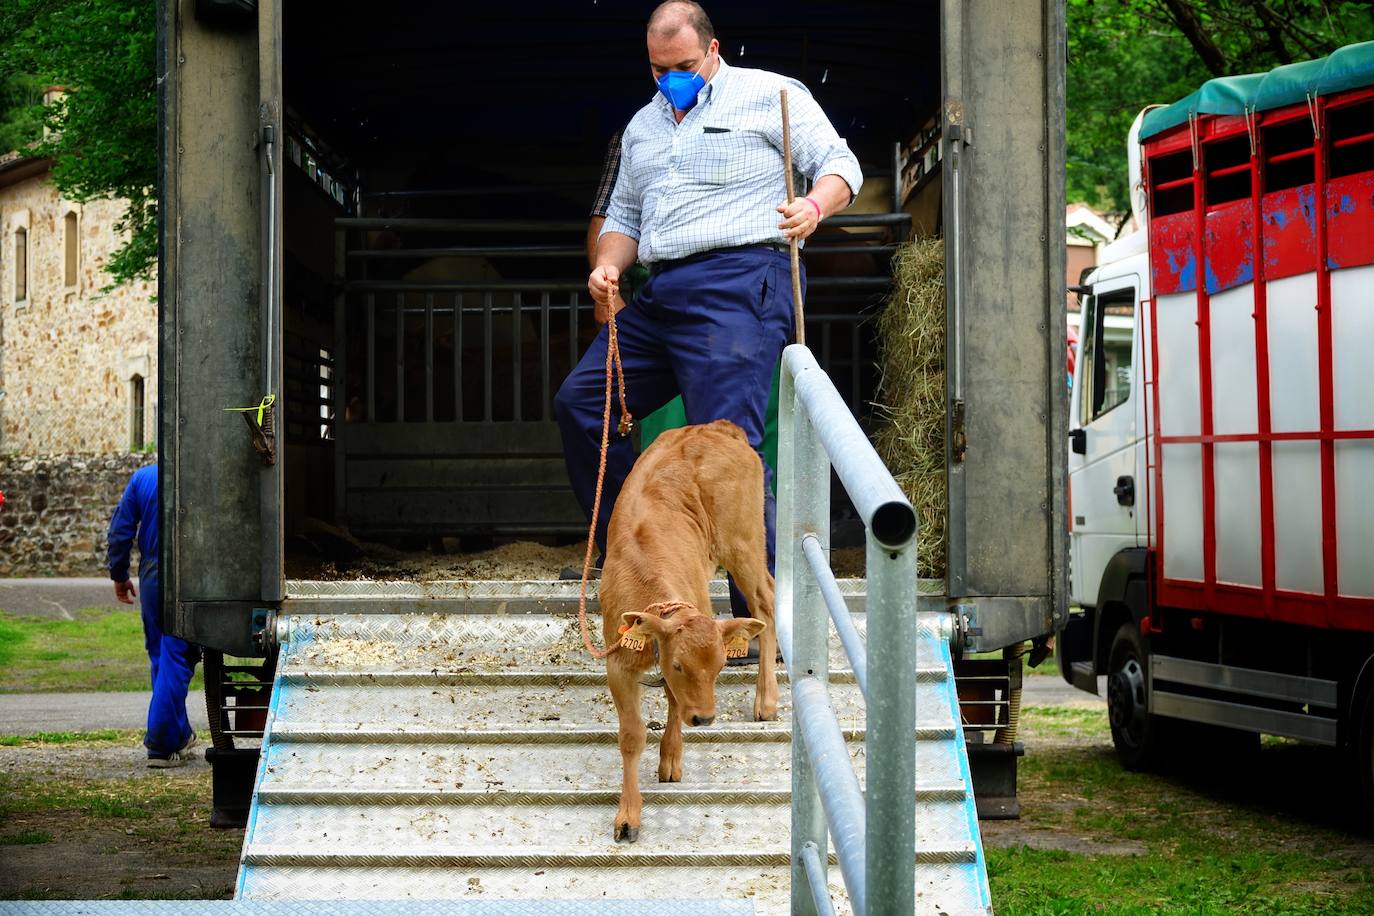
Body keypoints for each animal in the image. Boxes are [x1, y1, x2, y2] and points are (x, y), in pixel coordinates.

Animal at [599, 420, 780, 840]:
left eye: (720, 667)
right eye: (679, 665)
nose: (705, 719)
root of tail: (713, 428)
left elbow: (673, 701)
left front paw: (671, 758)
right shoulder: (617, 663)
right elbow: (632, 735)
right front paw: (628, 817)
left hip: (744, 540)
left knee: (765, 600)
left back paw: (766, 700)